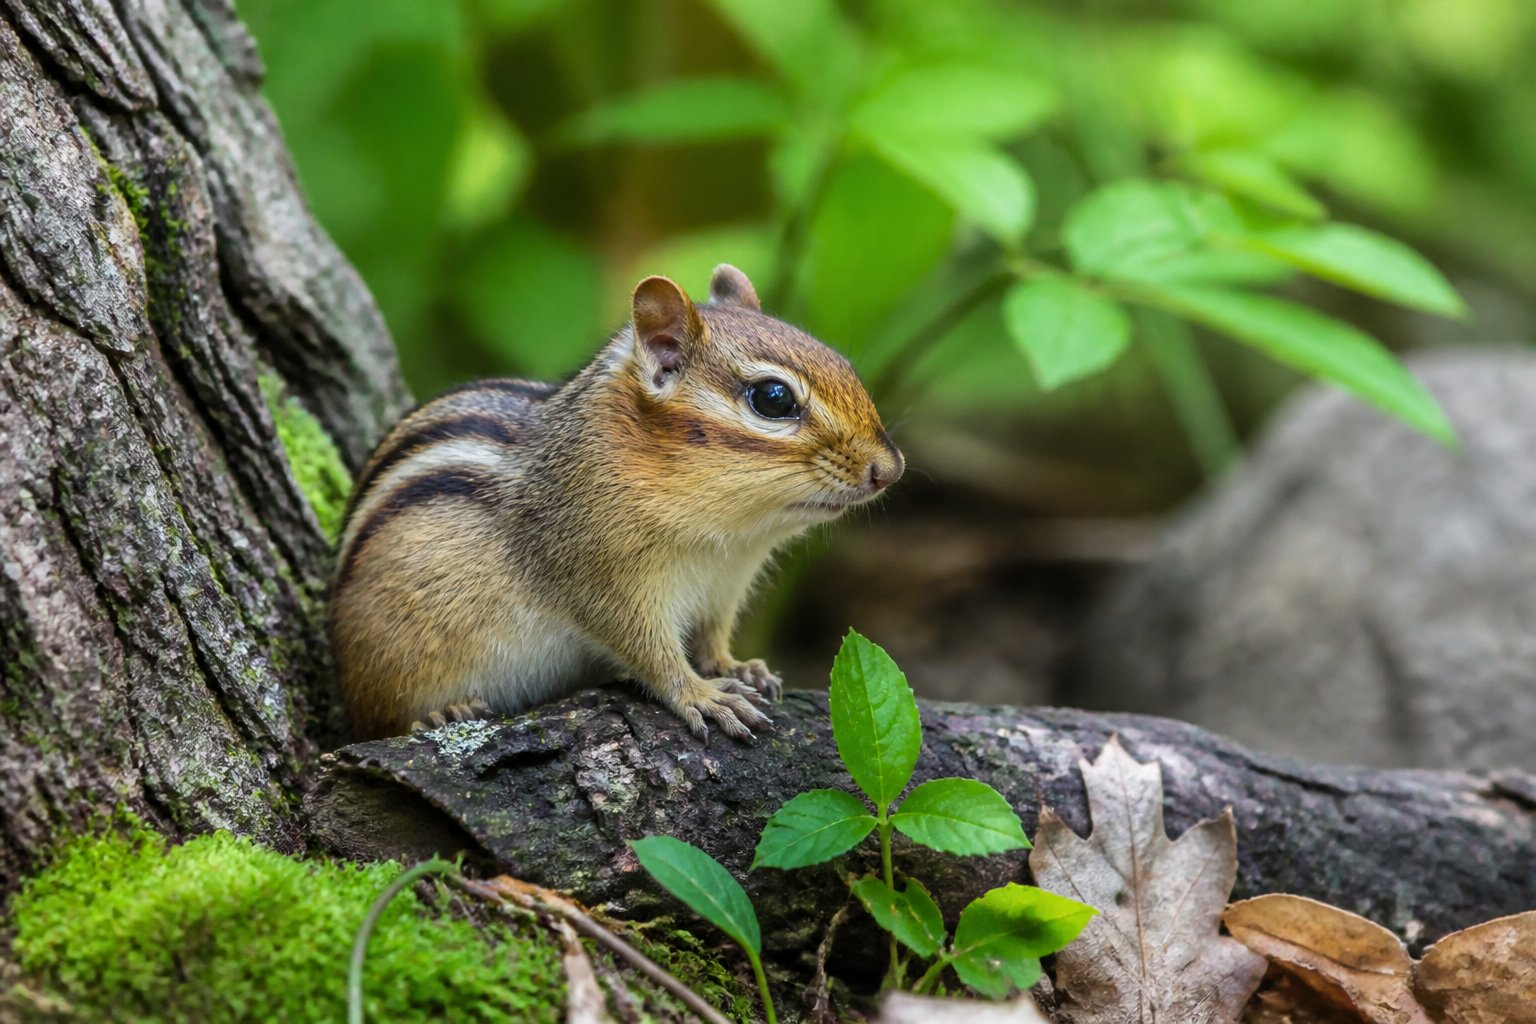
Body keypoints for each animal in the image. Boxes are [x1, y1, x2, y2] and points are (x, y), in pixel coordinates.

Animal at [328, 265, 903, 741]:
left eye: (844, 364)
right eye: (773, 398)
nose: (890, 469)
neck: (731, 535)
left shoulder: (724, 587)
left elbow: (711, 637)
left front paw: (737, 667)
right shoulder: (601, 576)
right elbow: (649, 651)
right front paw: (702, 694)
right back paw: (442, 713)